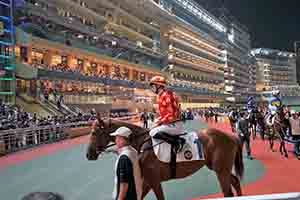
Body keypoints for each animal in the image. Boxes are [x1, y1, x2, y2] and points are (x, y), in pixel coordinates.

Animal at [85, 117, 245, 198]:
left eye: (93, 133)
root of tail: (231, 136)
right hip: (220, 169)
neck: (142, 144)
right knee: (235, 182)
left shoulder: (153, 180)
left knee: (228, 192)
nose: (88, 154)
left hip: (221, 170)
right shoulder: (147, 181)